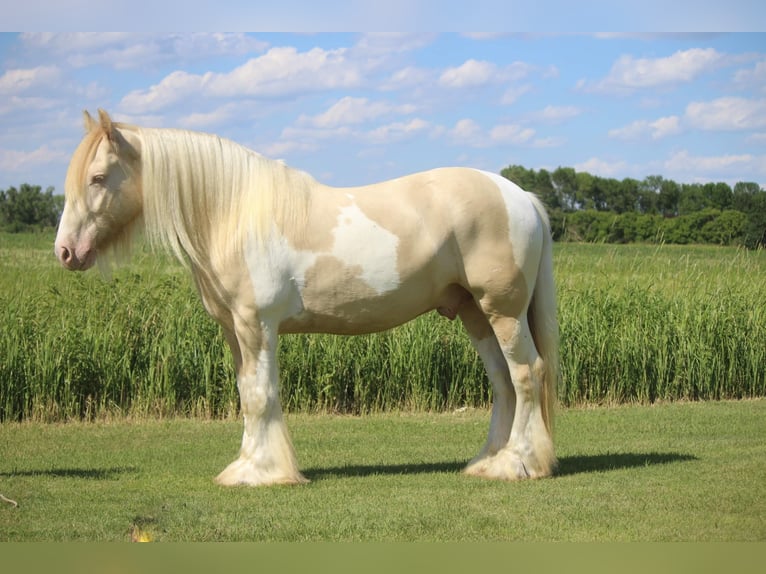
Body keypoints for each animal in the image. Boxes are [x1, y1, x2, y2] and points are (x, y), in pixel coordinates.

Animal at [52, 109, 560, 486]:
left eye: (98, 177)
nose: (66, 252)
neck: (235, 214)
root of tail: (520, 196)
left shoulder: (257, 326)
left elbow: (261, 395)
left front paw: (262, 473)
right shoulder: (234, 331)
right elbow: (247, 392)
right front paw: (247, 466)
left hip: (504, 312)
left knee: (526, 374)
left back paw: (518, 464)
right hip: (475, 313)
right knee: (503, 381)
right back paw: (488, 461)